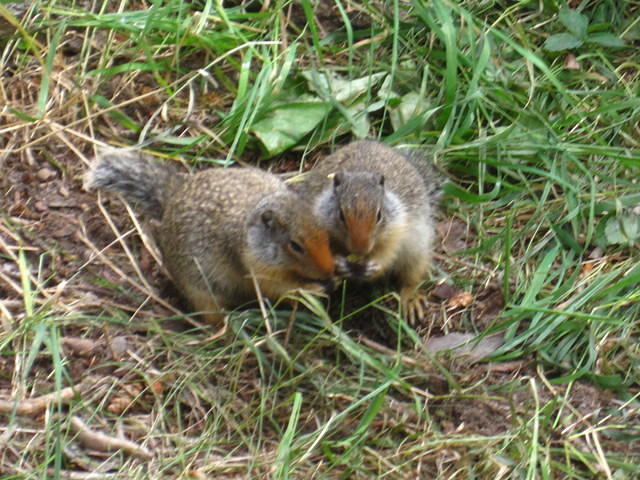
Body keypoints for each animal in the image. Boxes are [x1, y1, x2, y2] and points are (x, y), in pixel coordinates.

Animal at [85, 148, 336, 324]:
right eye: (295, 245)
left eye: (325, 232)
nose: (329, 271)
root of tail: (174, 195)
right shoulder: (257, 269)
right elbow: (280, 289)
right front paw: (313, 289)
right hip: (201, 291)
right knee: (210, 315)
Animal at [292, 141, 438, 324]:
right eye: (341, 215)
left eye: (379, 215)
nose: (360, 249)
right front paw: (339, 264)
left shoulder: (396, 230)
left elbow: (387, 253)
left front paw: (374, 267)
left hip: (418, 248)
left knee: (412, 277)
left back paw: (411, 299)